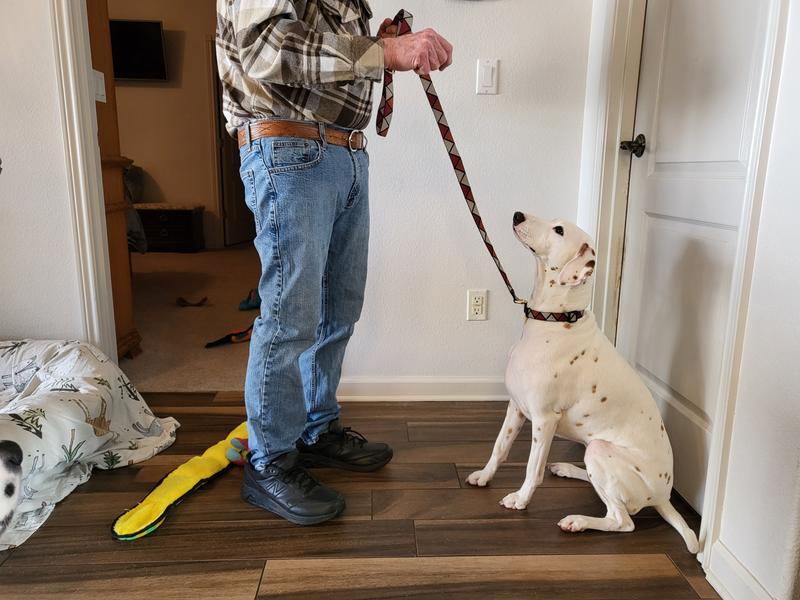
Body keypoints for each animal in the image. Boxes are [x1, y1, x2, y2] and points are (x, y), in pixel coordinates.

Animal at [466, 211, 696, 552]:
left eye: (559, 230)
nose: (517, 214)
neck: (554, 320)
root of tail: (663, 495)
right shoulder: (515, 408)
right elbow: (500, 447)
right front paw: (485, 475)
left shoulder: (544, 420)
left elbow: (531, 468)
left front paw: (520, 499)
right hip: (591, 451)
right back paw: (568, 469)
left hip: (600, 450)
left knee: (622, 520)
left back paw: (578, 521)